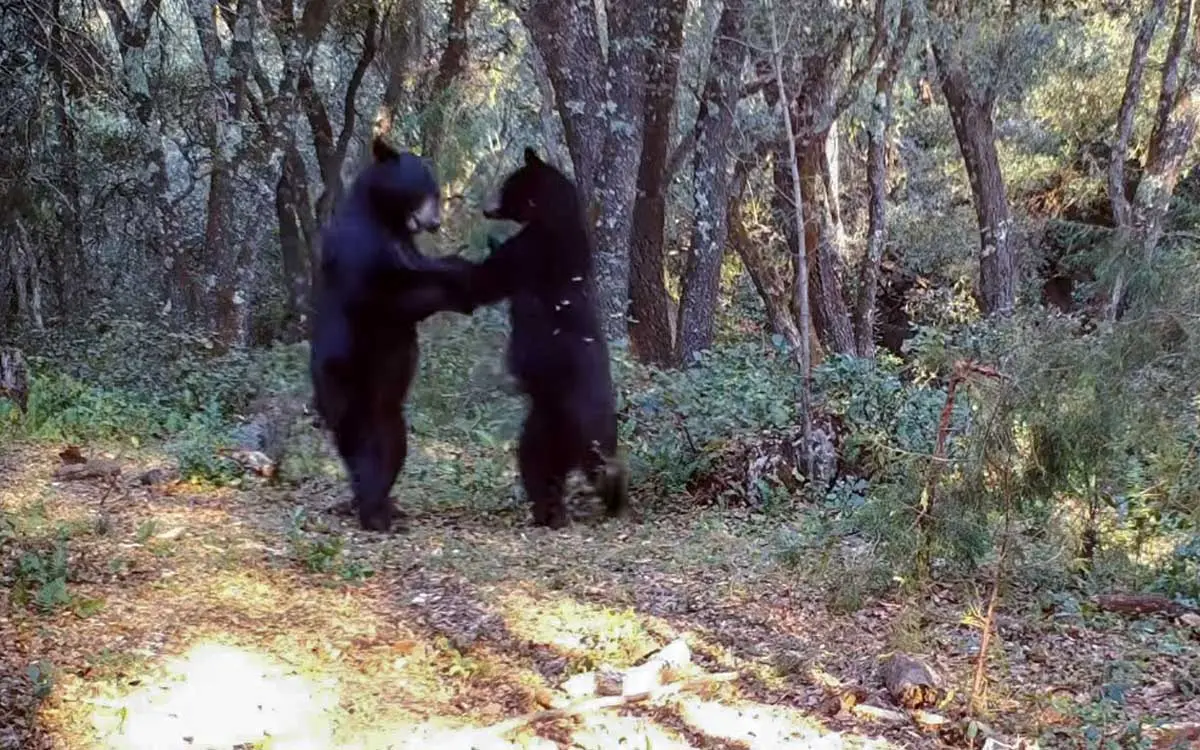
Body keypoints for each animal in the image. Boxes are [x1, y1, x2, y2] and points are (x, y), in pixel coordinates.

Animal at [309, 136, 472, 532]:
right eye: (423, 191)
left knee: (393, 442)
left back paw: (384, 503)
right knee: (358, 440)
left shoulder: (405, 246)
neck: (384, 218)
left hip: (386, 402)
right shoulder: (359, 250)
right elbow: (390, 297)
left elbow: (418, 268)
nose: (435, 222)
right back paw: (374, 511)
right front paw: (459, 275)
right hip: (343, 378)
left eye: (436, 192)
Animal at [467, 147, 629, 529]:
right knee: (541, 468)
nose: (486, 209)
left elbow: (488, 277)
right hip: (544, 427)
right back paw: (558, 510)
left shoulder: (535, 249)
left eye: (507, 185)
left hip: (565, 425)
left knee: (560, 468)